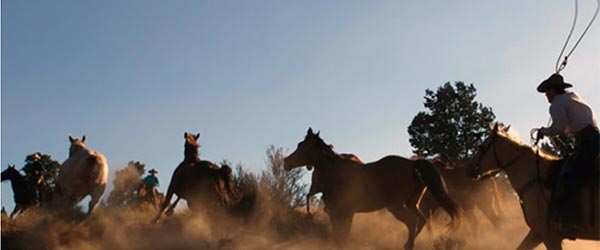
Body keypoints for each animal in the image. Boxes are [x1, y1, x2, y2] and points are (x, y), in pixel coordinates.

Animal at [282, 129, 460, 250]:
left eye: (302, 146)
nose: (286, 162)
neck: (335, 174)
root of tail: (413, 164)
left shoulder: (340, 213)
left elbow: (340, 237)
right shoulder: (344, 214)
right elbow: (341, 237)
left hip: (396, 206)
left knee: (412, 222)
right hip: (411, 204)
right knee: (421, 221)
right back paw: (406, 244)